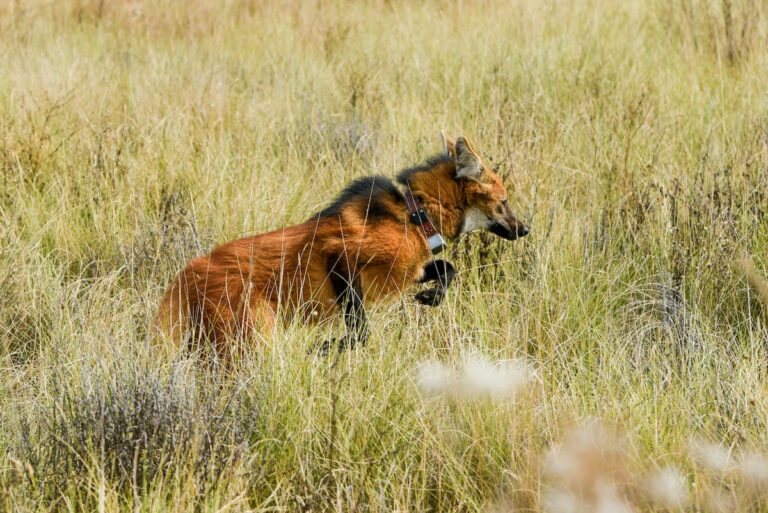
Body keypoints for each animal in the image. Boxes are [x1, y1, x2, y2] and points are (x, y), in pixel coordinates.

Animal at [153, 134, 529, 357]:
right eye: (504, 202)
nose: (525, 229)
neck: (416, 214)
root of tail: (185, 275)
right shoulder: (340, 254)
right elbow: (361, 332)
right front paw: (324, 348)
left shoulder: (406, 270)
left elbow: (448, 270)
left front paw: (430, 297)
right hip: (253, 333)